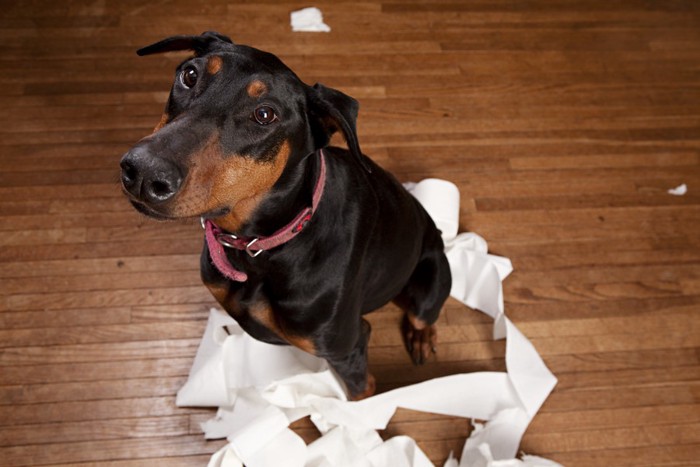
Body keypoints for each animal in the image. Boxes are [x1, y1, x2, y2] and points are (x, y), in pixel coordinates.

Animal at [120, 31, 452, 400]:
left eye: (265, 114)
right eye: (189, 75)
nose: (143, 172)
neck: (264, 247)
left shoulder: (348, 349)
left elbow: (360, 393)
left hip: (430, 279)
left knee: (424, 314)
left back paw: (422, 335)